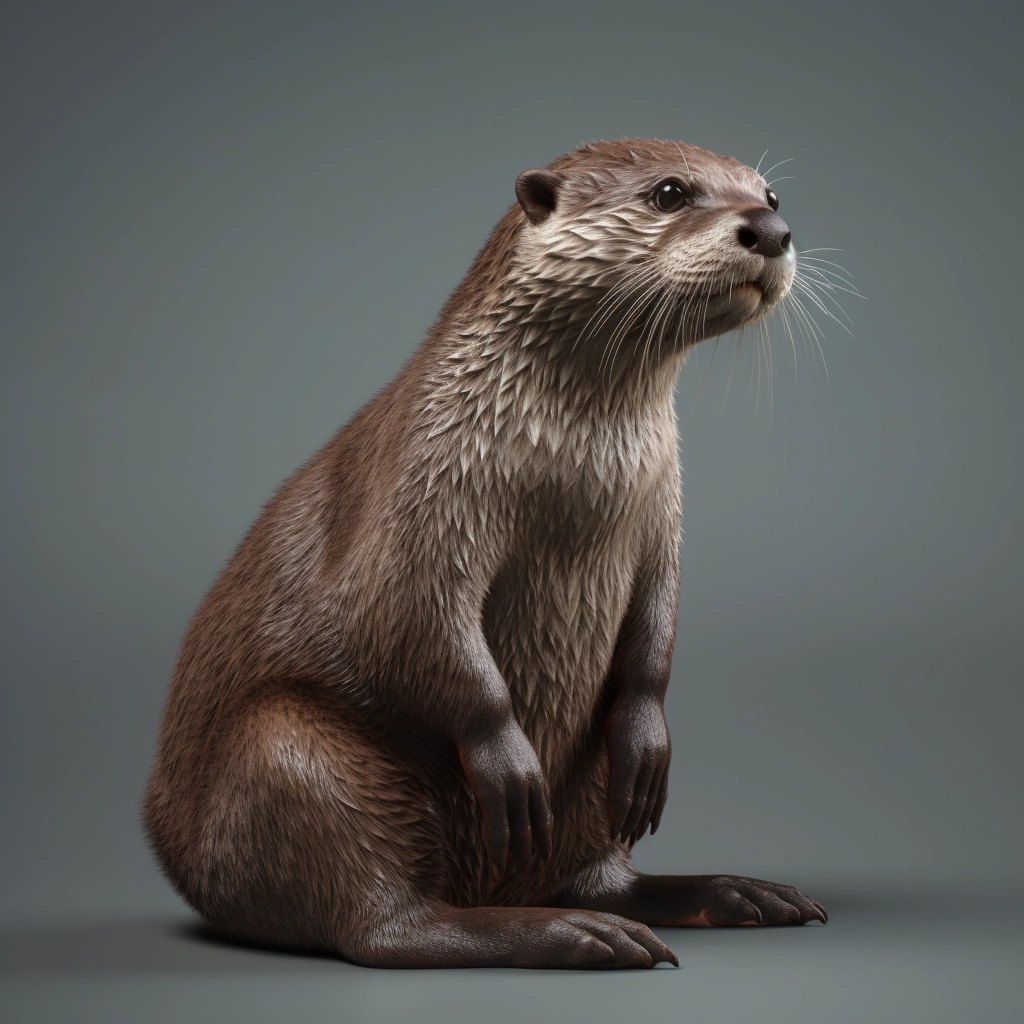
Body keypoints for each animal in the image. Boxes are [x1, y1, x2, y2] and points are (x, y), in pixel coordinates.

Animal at [144, 138, 828, 970]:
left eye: (770, 193)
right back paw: (565, 934)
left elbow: (656, 631)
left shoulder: (662, 514)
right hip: (293, 754)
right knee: (381, 924)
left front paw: (651, 737)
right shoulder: (428, 489)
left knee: (598, 871)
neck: (576, 467)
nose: (771, 229)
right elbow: (410, 618)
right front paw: (505, 759)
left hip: (585, 797)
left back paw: (728, 895)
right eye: (669, 192)